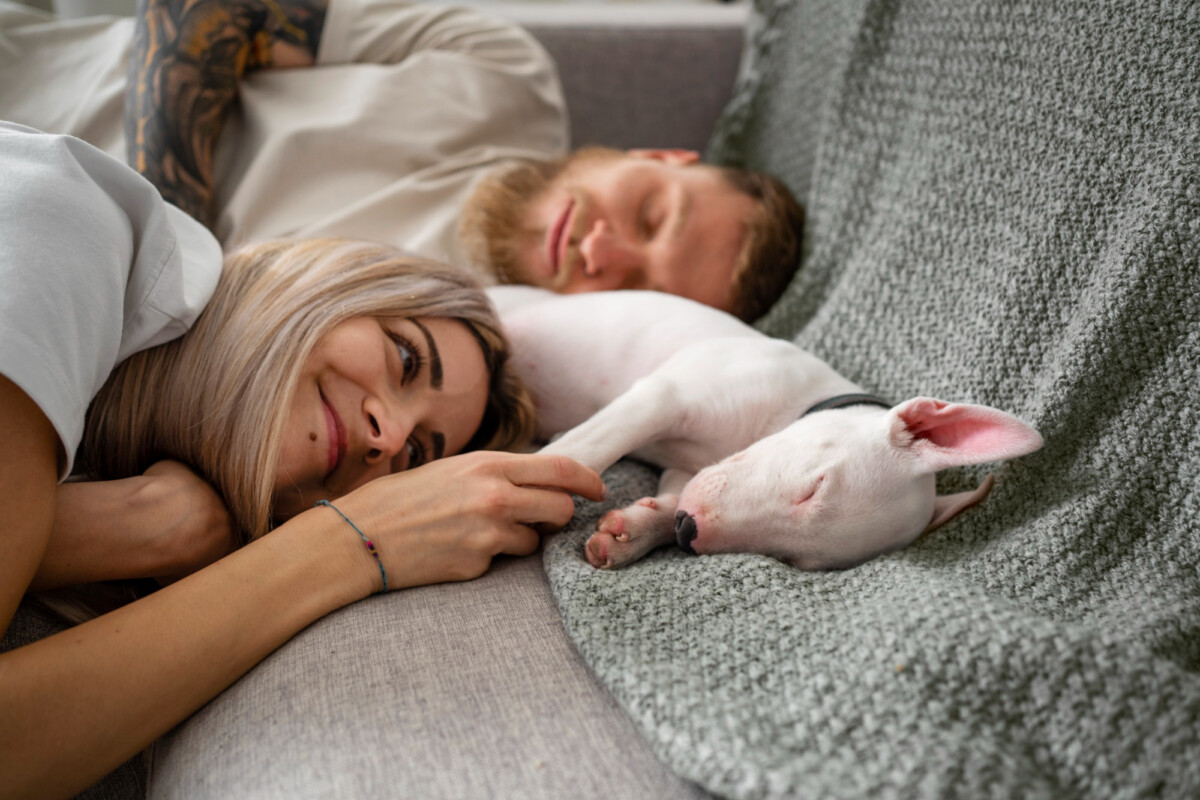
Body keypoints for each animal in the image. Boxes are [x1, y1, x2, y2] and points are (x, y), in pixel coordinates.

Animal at [487, 286, 1041, 568]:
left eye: (790, 561)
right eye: (815, 487)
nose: (689, 532)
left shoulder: (683, 470)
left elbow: (670, 493)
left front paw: (636, 530)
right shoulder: (665, 394)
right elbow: (586, 448)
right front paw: (527, 487)